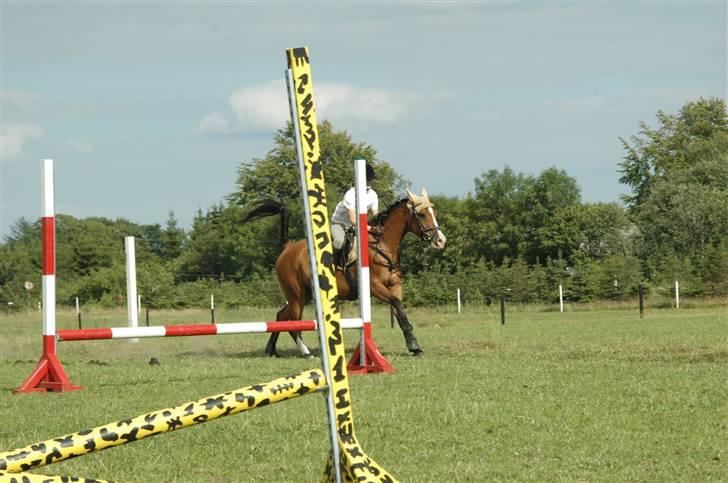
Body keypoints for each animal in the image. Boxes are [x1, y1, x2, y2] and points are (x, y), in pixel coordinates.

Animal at [245, 189, 446, 360]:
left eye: (433, 213)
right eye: (421, 214)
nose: (440, 241)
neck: (382, 245)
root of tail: (288, 248)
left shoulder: (394, 285)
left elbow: (400, 310)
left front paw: (414, 347)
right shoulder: (375, 287)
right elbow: (397, 305)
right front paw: (413, 345)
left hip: (305, 294)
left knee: (281, 316)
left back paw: (271, 350)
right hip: (296, 295)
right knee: (294, 324)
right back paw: (306, 352)